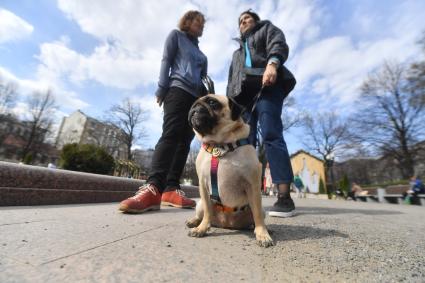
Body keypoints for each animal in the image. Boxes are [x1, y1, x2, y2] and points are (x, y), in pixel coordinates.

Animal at [186, 94, 272, 247]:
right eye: (193, 104)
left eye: (212, 102)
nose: (194, 107)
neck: (220, 144)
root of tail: (227, 225)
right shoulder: (203, 185)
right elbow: (207, 212)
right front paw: (201, 229)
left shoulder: (253, 186)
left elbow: (257, 215)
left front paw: (263, 234)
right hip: (200, 204)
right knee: (202, 214)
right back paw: (195, 222)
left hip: (262, 210)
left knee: (257, 217)